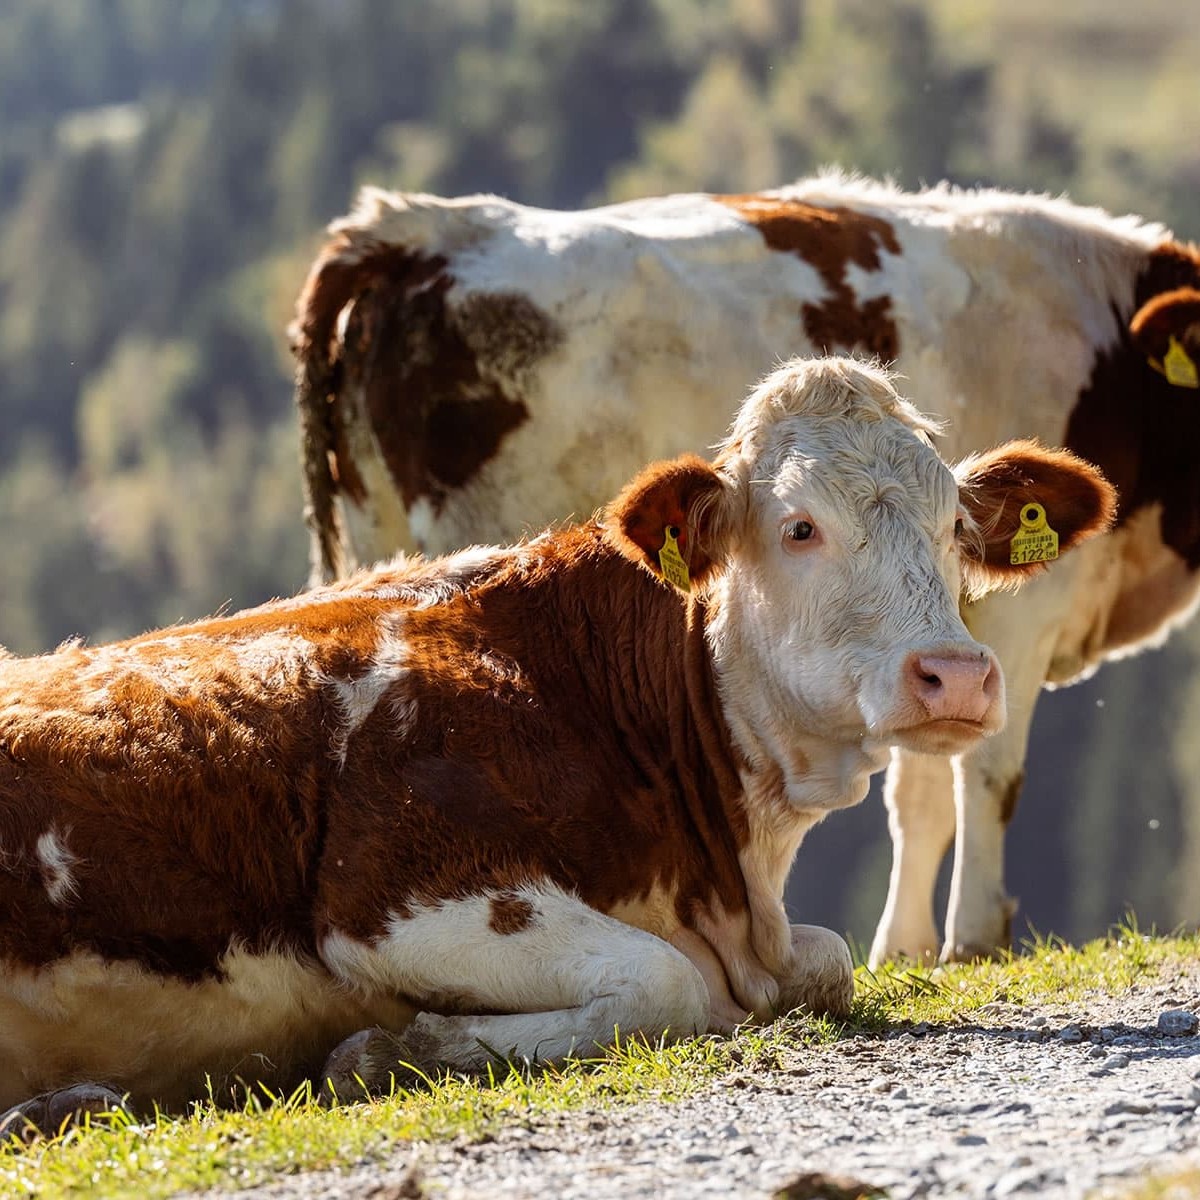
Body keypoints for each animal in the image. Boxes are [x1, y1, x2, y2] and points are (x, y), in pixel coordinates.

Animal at [0, 358, 1112, 1135]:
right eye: (800, 527)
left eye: (955, 527)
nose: (955, 675)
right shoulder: (400, 891)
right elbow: (667, 984)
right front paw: (395, 1049)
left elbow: (825, 959)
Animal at [292, 172, 1200, 964]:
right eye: (797, 527)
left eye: (955, 525)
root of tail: (417, 228)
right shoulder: (1015, 617)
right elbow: (982, 775)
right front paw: (972, 940)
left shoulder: (937, 634)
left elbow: (919, 790)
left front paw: (904, 949)